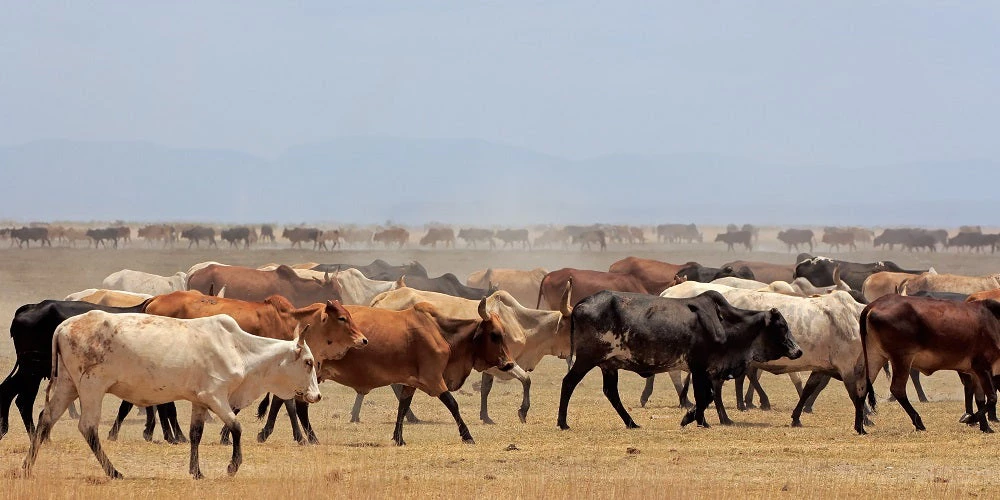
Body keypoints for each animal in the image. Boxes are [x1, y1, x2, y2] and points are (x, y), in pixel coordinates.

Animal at [0, 298, 184, 444]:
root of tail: (32, 307)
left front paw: (152, 432)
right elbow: (166, 408)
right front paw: (175, 436)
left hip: (32, 370)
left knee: (10, 393)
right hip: (32, 370)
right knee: (23, 400)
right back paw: (34, 436)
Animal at [23, 310, 320, 478]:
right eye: (308, 362)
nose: (316, 396)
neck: (240, 349)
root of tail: (64, 325)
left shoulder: (200, 401)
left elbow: (195, 434)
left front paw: (196, 471)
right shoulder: (215, 396)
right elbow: (236, 427)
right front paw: (232, 467)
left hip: (67, 385)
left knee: (46, 417)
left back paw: (27, 466)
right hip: (91, 387)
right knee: (87, 427)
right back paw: (114, 471)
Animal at [560, 290, 800, 430]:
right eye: (782, 326)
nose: (798, 351)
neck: (724, 323)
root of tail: (581, 304)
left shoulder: (704, 370)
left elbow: (706, 396)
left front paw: (700, 420)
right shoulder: (700, 366)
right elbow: (704, 396)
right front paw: (691, 419)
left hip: (608, 365)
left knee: (611, 392)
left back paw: (632, 423)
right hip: (587, 358)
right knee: (569, 383)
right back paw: (563, 423)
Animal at [856, 292, 1000, 434]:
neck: (993, 322)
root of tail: (873, 305)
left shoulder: (975, 372)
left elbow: (980, 399)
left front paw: (986, 427)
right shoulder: (983, 367)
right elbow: (992, 397)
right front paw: (970, 418)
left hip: (875, 356)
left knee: (862, 386)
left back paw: (860, 427)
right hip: (901, 359)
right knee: (897, 389)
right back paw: (919, 423)